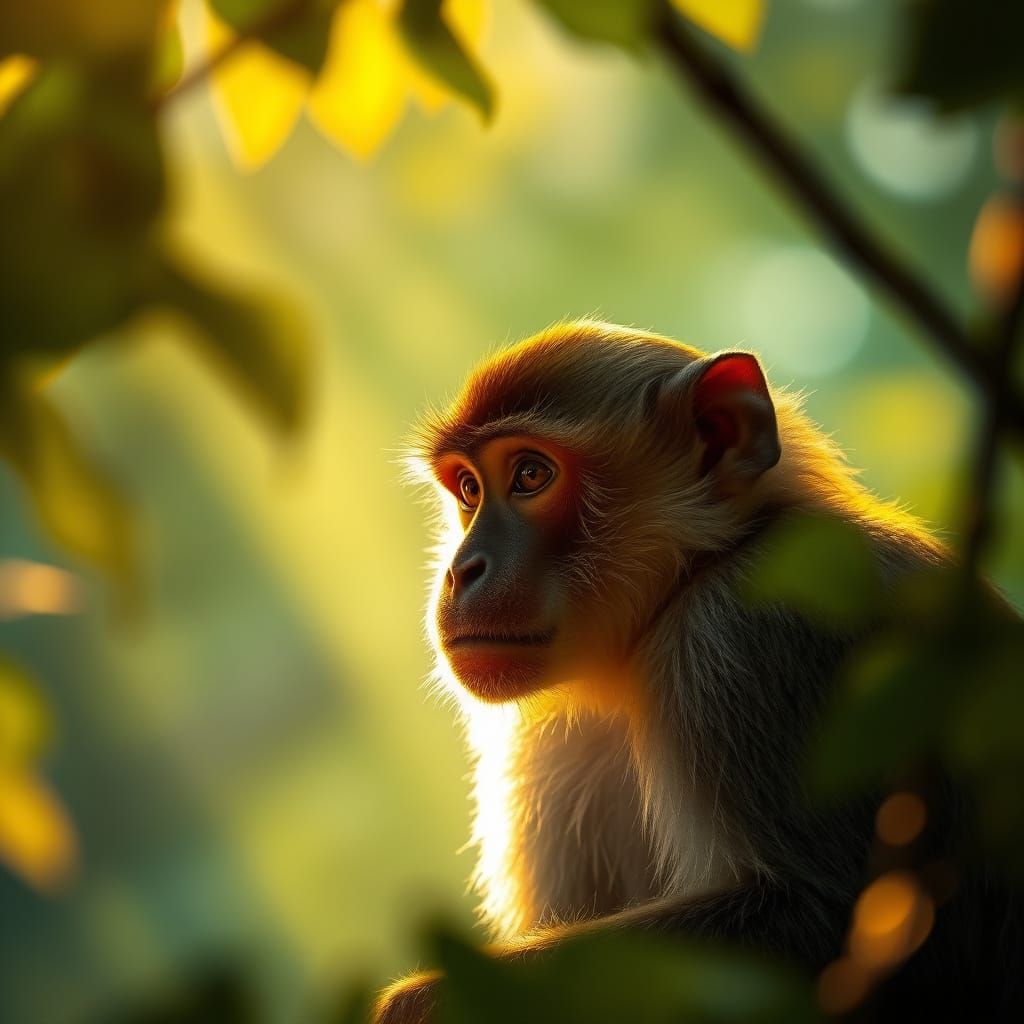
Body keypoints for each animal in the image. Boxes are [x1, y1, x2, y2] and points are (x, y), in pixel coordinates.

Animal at [376, 320, 1023, 1023]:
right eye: (470, 489)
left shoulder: (745, 632)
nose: (462, 570)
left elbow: (847, 924)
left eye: (529, 475)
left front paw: (420, 1003)